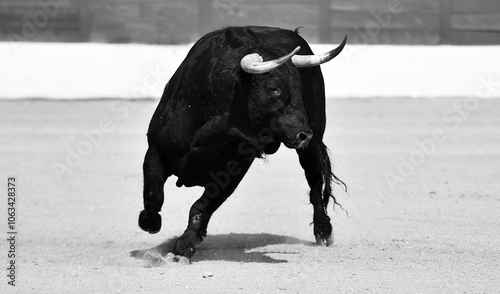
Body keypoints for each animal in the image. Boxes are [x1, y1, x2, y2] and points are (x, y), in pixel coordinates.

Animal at [137, 24, 348, 260]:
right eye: (273, 88)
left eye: (299, 88)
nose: (304, 134)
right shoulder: (155, 148)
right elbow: (153, 195)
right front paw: (150, 223)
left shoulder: (234, 167)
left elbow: (203, 205)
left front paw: (183, 247)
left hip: (314, 143)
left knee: (314, 181)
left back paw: (323, 230)